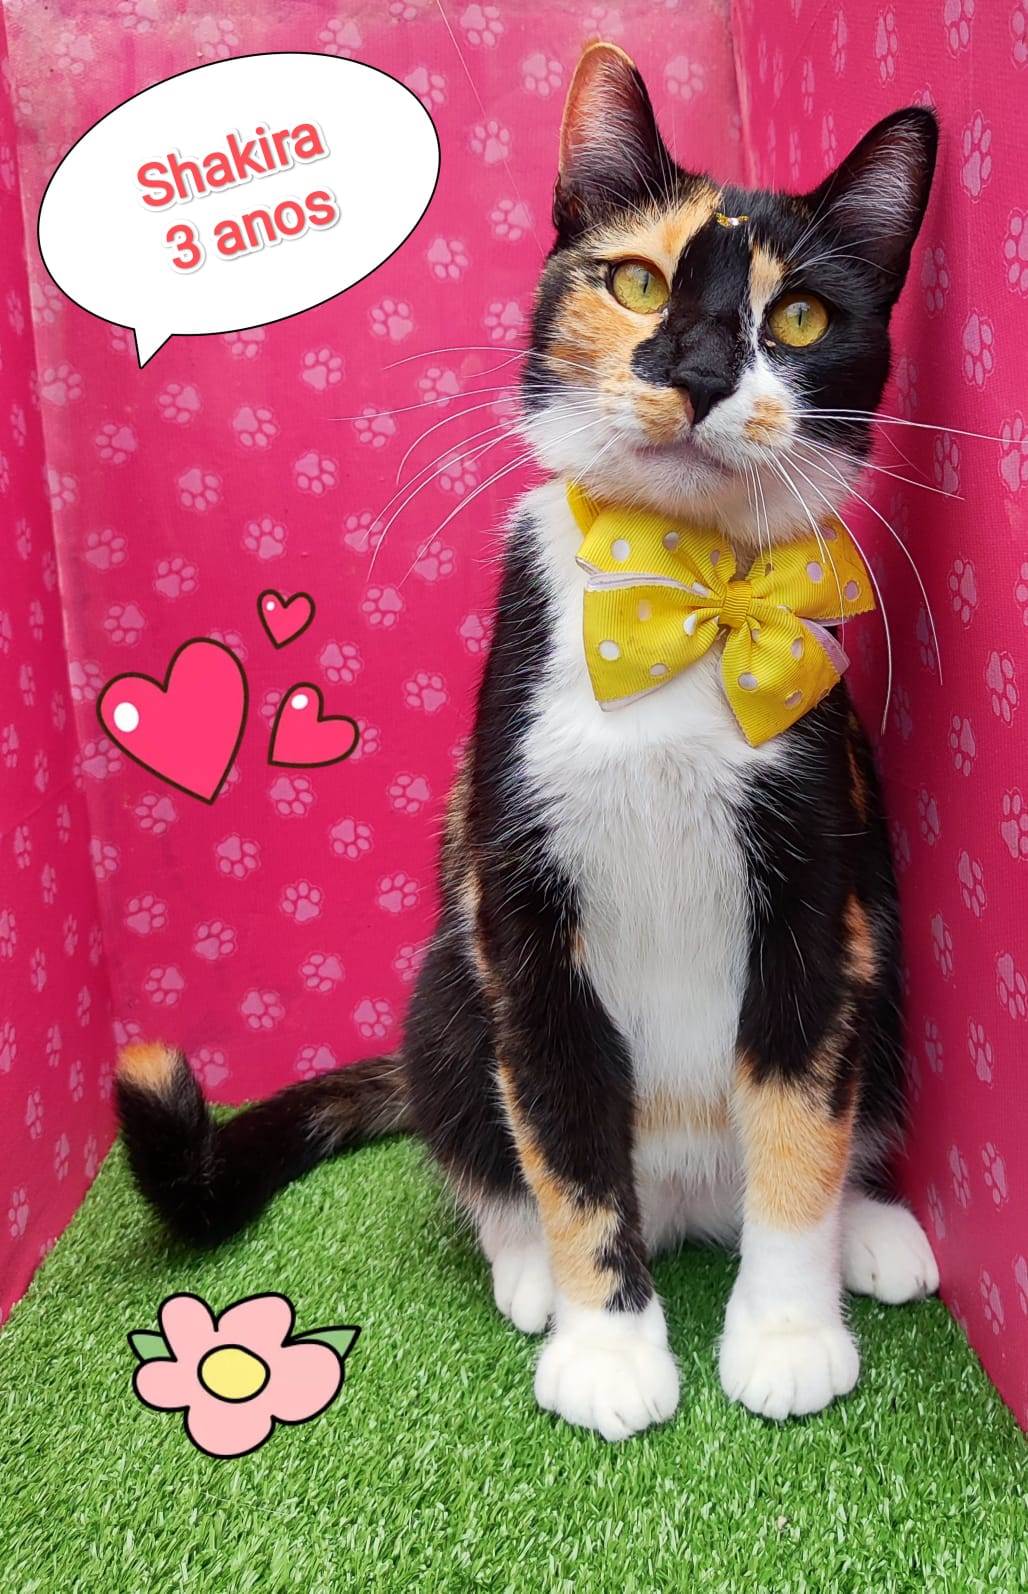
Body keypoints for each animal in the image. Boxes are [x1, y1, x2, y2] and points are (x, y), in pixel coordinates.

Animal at [116, 43, 941, 1440]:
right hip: (449, 986)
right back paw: (524, 1269)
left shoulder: (817, 883)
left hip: (878, 954)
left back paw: (867, 1230)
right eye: (635, 280)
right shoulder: (519, 899)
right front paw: (606, 1345)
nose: (698, 367)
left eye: (798, 318)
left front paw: (783, 1327)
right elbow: (559, 1124)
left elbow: (797, 1106)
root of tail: (687, 1203)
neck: (676, 589)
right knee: (482, 1124)